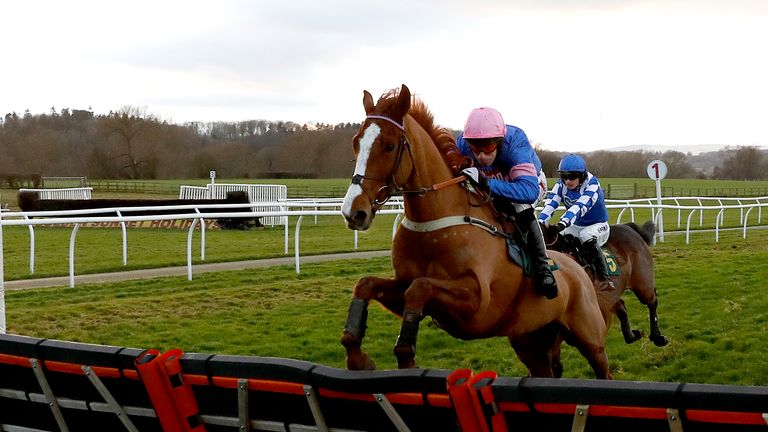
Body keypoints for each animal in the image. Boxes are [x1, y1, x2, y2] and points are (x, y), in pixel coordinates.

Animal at [340, 85, 612, 378]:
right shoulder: (404, 286)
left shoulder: (476, 302)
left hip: (590, 337)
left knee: (603, 369)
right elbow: (366, 285)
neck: (434, 224)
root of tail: (578, 267)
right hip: (531, 341)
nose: (354, 212)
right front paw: (358, 358)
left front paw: (406, 359)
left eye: (389, 146)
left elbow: (419, 287)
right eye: (356, 142)